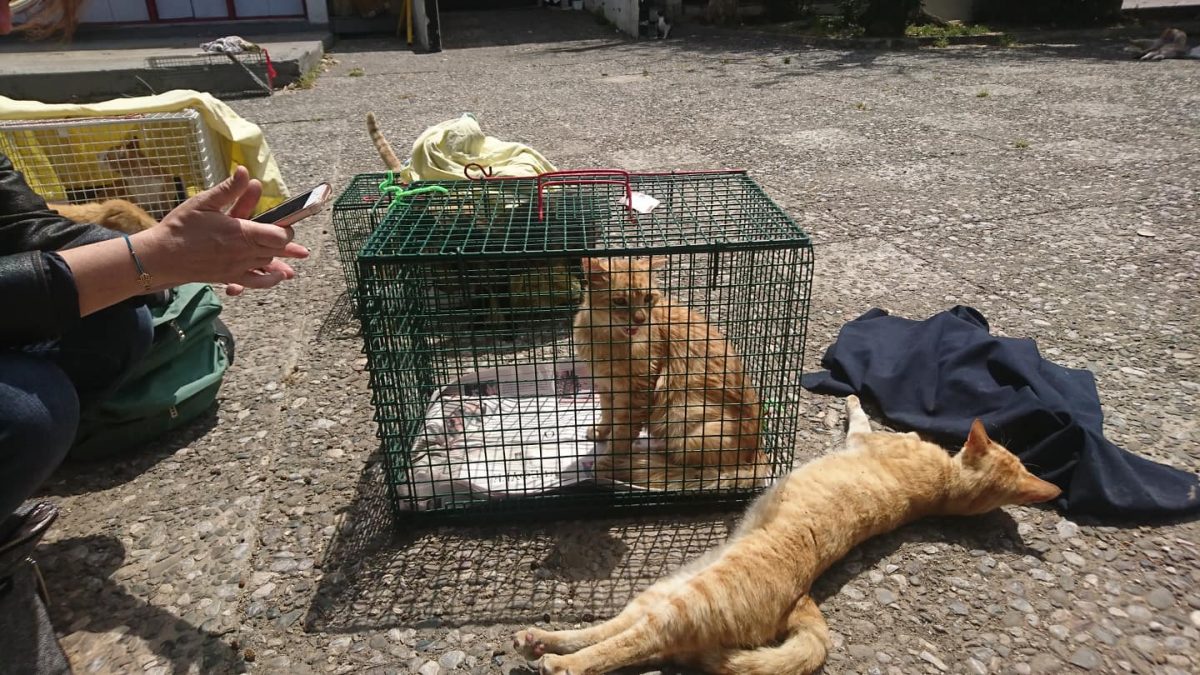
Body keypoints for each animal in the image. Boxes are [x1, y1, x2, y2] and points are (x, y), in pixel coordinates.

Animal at [516, 393, 1060, 672]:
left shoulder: (866, 437)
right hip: (663, 591)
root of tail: (802, 601)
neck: (946, 487)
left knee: (632, 644)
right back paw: (542, 638)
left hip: (683, 605)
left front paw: (853, 397)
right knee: (615, 629)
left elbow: (860, 417)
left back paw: (560, 663)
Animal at [573, 255, 768, 487]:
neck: (605, 339)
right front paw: (601, 431)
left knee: (691, 469)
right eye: (620, 301)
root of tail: (758, 449)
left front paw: (605, 465)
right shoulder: (604, 385)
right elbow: (607, 414)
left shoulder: (636, 394)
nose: (640, 319)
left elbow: (620, 436)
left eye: (648, 298)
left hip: (684, 417)